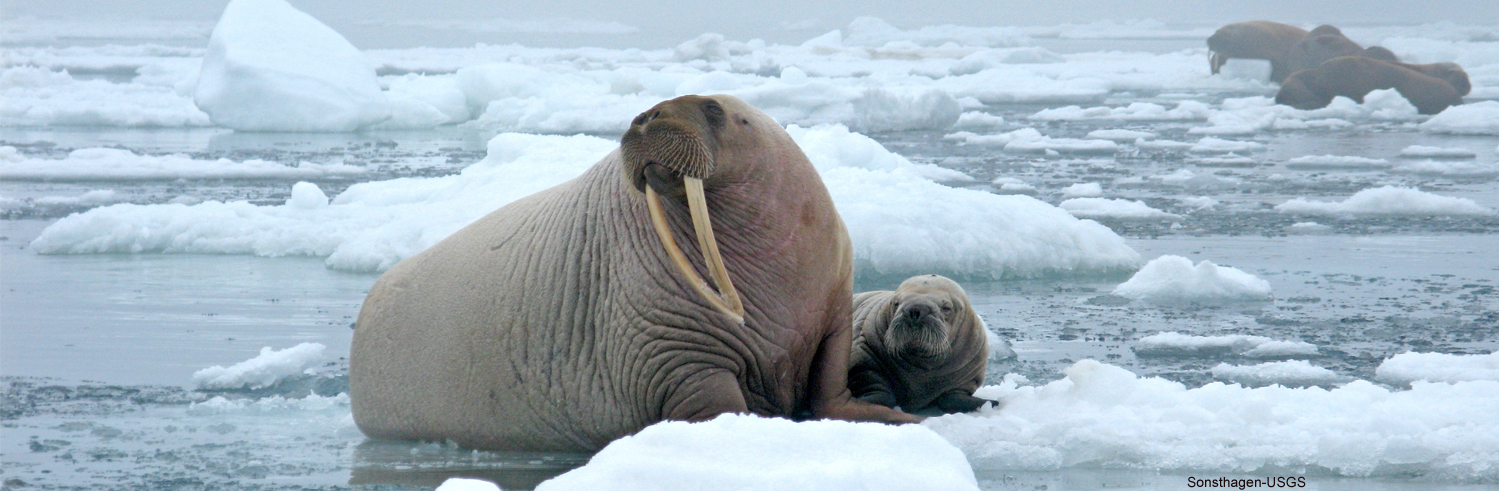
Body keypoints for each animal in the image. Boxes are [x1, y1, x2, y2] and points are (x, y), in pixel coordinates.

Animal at [857, 275, 995, 413]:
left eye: (947, 308)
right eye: (896, 303)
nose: (915, 310)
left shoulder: (968, 378)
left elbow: (952, 399)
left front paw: (992, 402)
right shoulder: (865, 353)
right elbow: (878, 388)